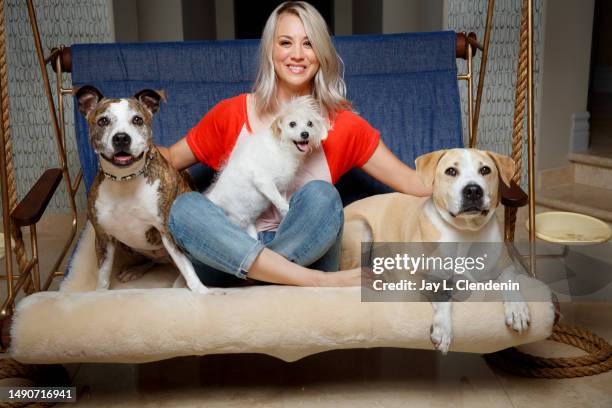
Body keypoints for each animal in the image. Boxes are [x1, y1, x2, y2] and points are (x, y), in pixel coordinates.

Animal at [75, 85, 209, 294]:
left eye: (137, 119)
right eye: (103, 121)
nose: (121, 138)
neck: (125, 179)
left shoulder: (166, 230)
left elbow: (185, 265)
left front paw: (200, 290)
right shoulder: (103, 237)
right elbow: (103, 275)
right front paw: (100, 294)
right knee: (153, 260)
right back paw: (135, 270)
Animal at [206, 97, 330, 237]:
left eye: (310, 123)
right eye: (292, 124)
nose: (305, 134)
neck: (282, 149)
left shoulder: (281, 187)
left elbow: (281, 200)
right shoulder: (264, 181)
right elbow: (280, 203)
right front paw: (287, 210)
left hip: (249, 228)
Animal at [340, 149, 532, 354]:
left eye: (485, 170)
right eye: (451, 171)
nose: (473, 190)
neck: (465, 232)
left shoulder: (506, 265)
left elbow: (510, 281)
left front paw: (518, 309)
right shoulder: (416, 278)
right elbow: (442, 295)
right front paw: (444, 328)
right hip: (362, 228)